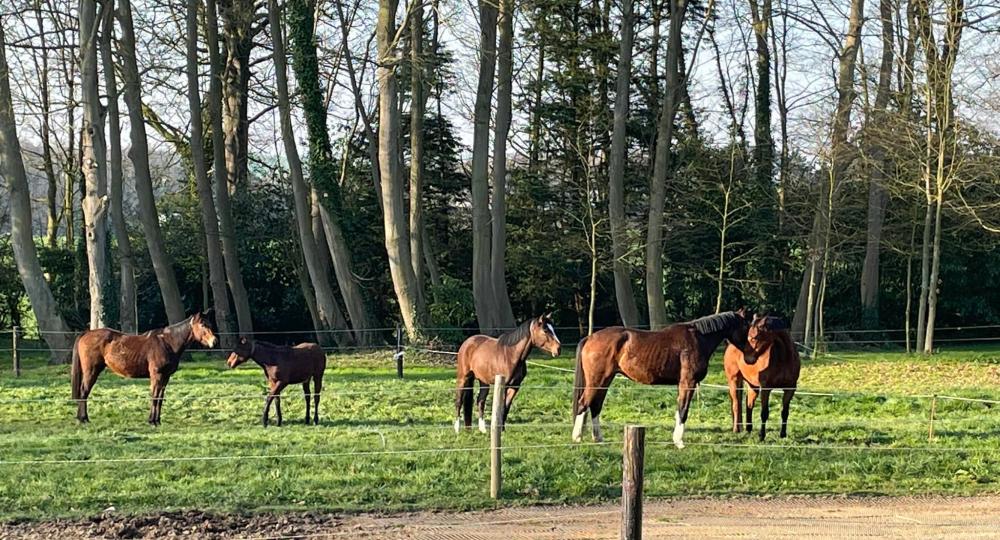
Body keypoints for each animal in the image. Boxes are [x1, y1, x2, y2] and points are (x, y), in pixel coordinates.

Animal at [71, 312, 219, 426]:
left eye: (210, 324)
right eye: (203, 325)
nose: (214, 341)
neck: (167, 343)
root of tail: (85, 334)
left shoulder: (165, 377)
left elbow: (160, 399)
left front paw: (157, 421)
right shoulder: (157, 375)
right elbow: (154, 397)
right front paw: (152, 421)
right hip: (91, 371)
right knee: (84, 392)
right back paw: (83, 419)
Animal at [572, 308, 752, 448]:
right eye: (746, 327)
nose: (750, 358)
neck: (698, 338)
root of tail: (590, 338)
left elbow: (679, 409)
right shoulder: (688, 382)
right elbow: (683, 410)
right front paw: (679, 441)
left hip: (605, 380)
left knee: (595, 405)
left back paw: (598, 438)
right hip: (597, 380)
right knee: (584, 403)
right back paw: (577, 437)